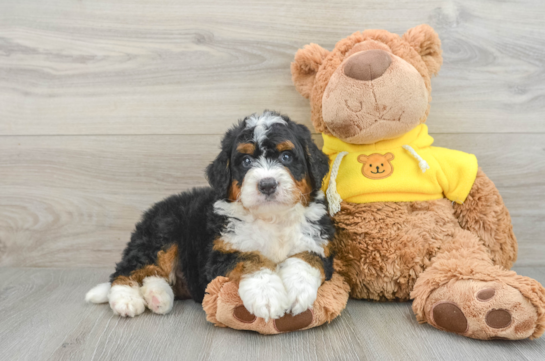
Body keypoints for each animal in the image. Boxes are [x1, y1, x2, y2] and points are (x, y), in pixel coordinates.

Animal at [85, 111, 334, 320]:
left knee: (153, 275)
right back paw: (126, 300)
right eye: (245, 161)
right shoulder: (217, 254)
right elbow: (250, 258)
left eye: (286, 157)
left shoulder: (320, 244)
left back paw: (158, 297)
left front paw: (297, 291)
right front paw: (268, 296)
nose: (267, 184)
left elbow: (306, 258)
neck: (271, 219)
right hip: (162, 234)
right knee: (127, 270)